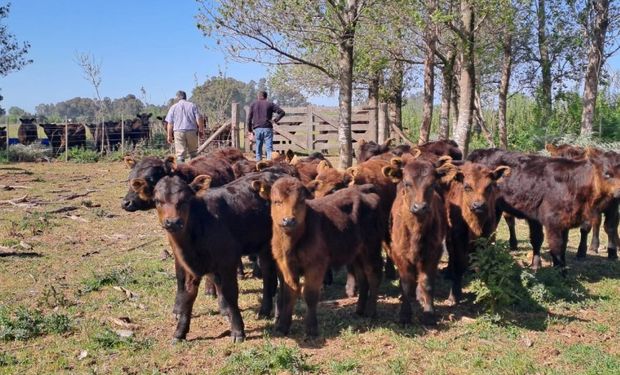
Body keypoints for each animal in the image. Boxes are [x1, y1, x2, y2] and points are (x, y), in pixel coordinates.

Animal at [150, 173, 286, 344]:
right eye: (157, 200)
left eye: (186, 199)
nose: (173, 222)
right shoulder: (191, 267)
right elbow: (188, 295)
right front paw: (179, 333)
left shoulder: (227, 261)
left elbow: (230, 293)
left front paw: (237, 330)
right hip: (263, 245)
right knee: (268, 273)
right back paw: (265, 310)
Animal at [256, 178, 382, 340]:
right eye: (276, 201)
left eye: (301, 201)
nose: (289, 220)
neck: (292, 242)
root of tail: (363, 188)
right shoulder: (285, 265)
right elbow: (290, 293)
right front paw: (282, 326)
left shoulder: (315, 265)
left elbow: (310, 294)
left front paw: (311, 329)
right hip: (356, 252)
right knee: (362, 277)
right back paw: (359, 309)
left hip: (371, 248)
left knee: (373, 276)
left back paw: (371, 312)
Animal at [380, 157, 448, 324]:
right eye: (407, 183)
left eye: (432, 184)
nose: (420, 207)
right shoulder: (399, 253)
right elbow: (405, 284)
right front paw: (405, 314)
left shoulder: (434, 252)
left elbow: (427, 282)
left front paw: (429, 313)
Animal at [470, 148, 620, 268]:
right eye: (607, 173)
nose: (619, 192)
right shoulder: (551, 221)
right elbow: (553, 245)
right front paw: (558, 271)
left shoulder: (564, 221)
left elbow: (559, 244)